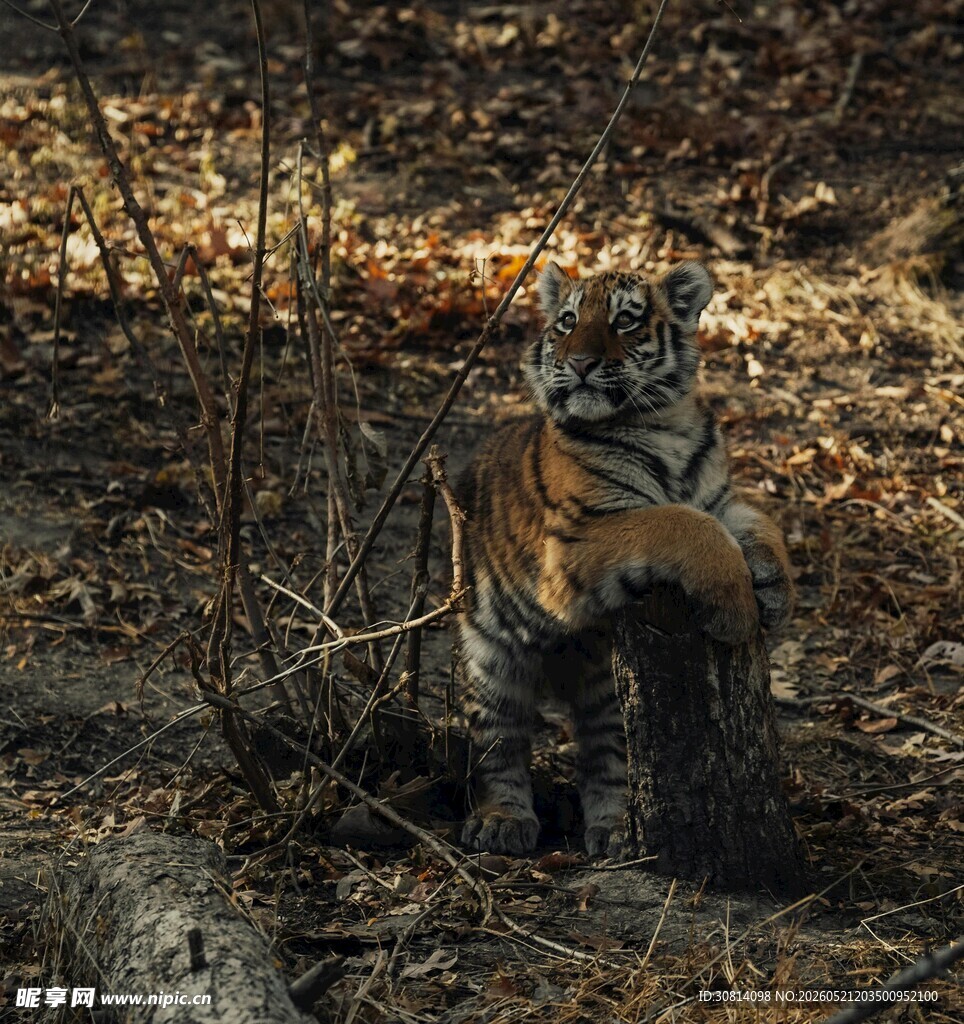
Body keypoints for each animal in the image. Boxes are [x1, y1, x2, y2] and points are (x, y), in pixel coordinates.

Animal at [455, 259, 794, 857]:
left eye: (626, 321)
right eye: (568, 322)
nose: (580, 363)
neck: (666, 426)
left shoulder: (719, 497)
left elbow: (757, 522)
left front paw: (774, 592)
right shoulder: (576, 540)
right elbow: (680, 523)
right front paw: (735, 611)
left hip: (607, 687)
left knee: (609, 756)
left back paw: (616, 830)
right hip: (491, 659)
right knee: (498, 743)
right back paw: (502, 821)